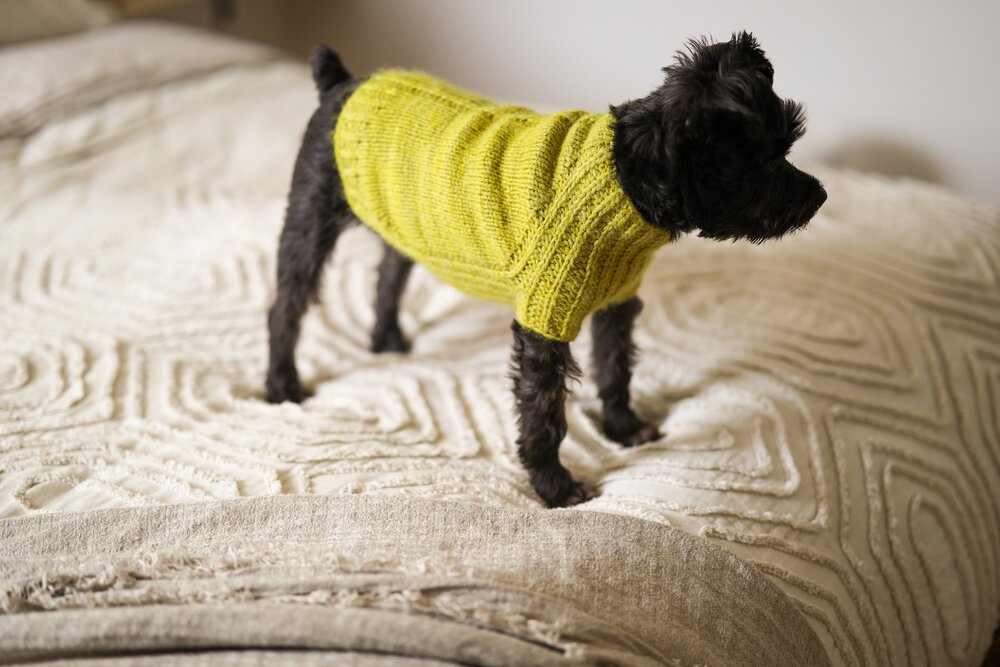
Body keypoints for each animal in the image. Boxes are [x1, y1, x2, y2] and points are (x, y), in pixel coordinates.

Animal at [266, 32, 827, 508]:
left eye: (787, 148)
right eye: (764, 162)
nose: (820, 196)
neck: (622, 180)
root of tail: (342, 82)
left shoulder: (616, 302)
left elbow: (616, 369)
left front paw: (623, 428)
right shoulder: (545, 323)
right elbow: (545, 416)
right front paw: (555, 487)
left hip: (403, 223)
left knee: (388, 274)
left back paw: (385, 340)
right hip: (310, 220)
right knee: (285, 308)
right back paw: (281, 386)